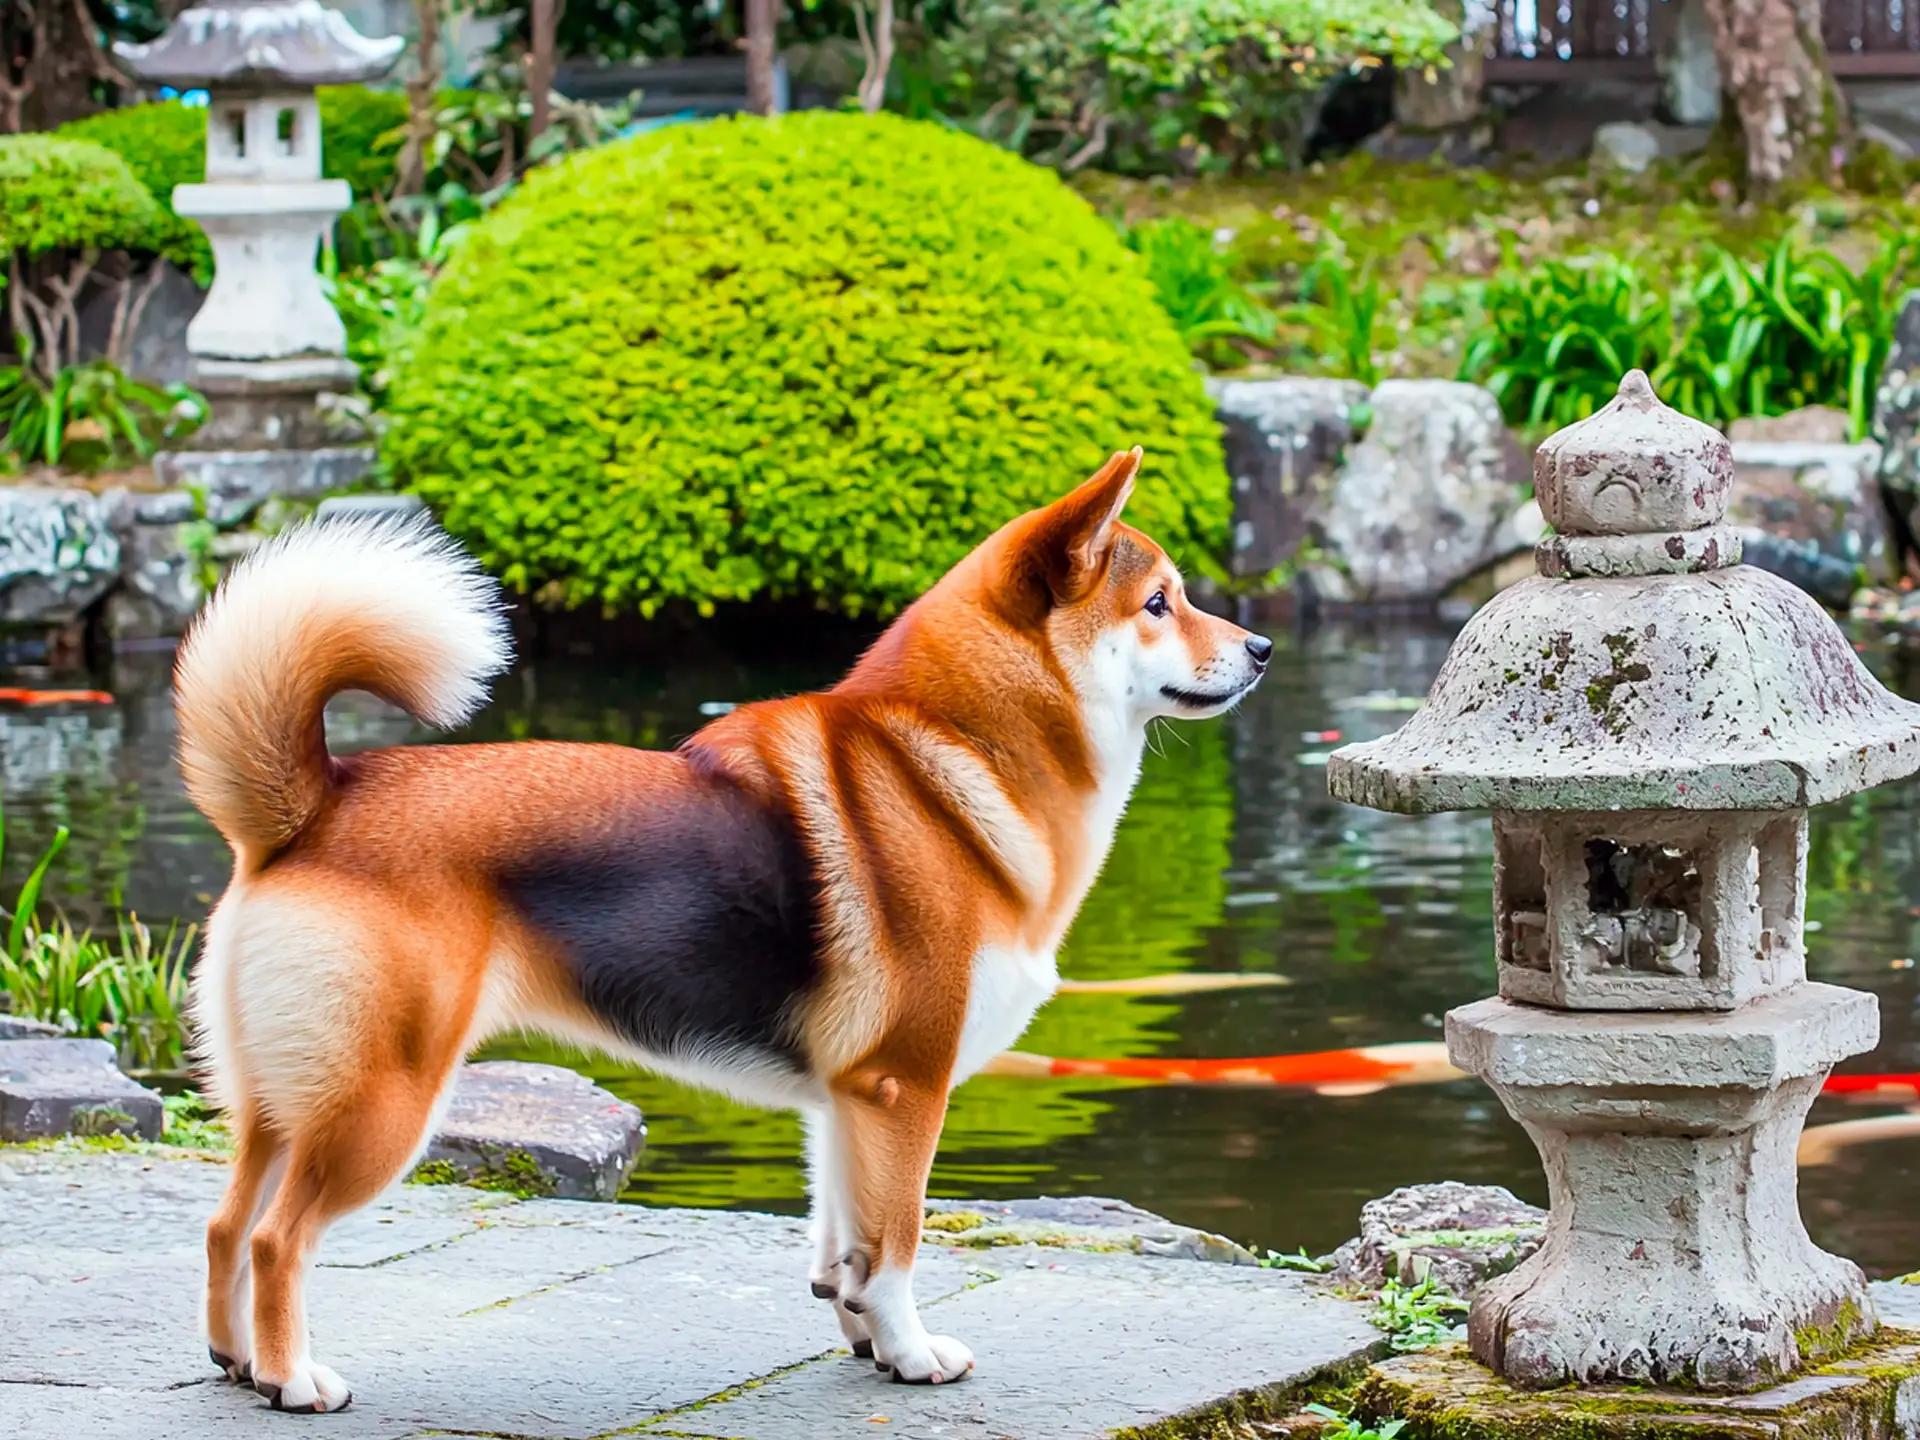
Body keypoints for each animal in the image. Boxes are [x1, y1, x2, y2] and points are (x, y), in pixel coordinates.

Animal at [172, 449, 1267, 1413]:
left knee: (225, 1224)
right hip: (379, 1102)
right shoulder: (905, 1086)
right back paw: (292, 1380)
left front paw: (870, 1342)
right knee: (275, 1240)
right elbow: (900, 1240)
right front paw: (914, 1356)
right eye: (1159, 602)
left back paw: (237, 1361)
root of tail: (313, 807)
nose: (1260, 651)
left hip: (281, 1100)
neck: (953, 750)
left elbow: (846, 1245)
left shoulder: (847, 1100)